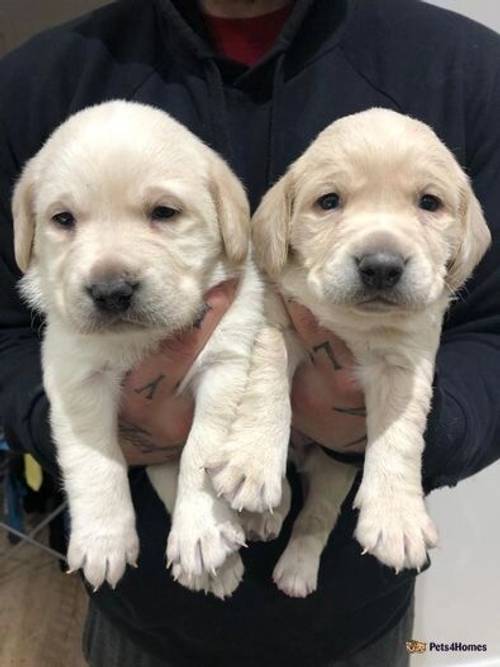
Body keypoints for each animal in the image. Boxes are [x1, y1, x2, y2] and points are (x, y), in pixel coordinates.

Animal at [12, 100, 290, 600]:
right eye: (63, 220)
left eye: (164, 212)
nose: (110, 291)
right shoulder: (75, 380)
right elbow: (93, 457)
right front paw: (102, 538)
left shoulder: (225, 362)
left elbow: (202, 449)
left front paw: (202, 529)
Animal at [252, 109, 490, 600]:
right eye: (328, 202)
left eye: (429, 203)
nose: (381, 266)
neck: (353, 323)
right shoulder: (277, 319)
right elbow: (267, 386)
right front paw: (252, 462)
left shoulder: (406, 363)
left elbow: (400, 434)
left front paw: (397, 518)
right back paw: (267, 508)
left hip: (333, 467)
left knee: (316, 515)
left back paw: (296, 569)